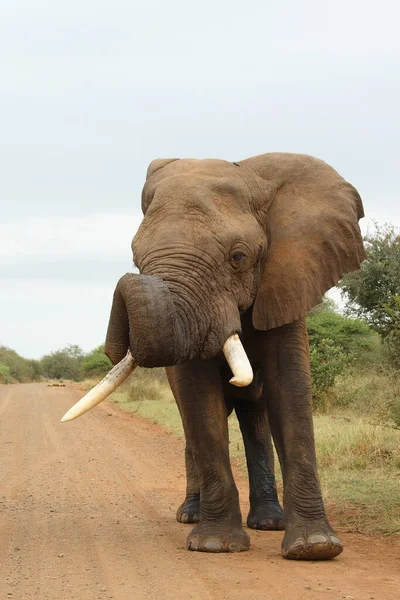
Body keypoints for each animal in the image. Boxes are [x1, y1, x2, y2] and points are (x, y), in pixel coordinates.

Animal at [62, 152, 366, 560]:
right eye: (136, 259)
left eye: (238, 257)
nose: (127, 281)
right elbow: (199, 400)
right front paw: (215, 545)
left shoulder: (286, 280)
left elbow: (290, 391)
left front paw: (315, 548)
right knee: (191, 422)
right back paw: (192, 515)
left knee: (255, 416)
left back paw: (269, 522)